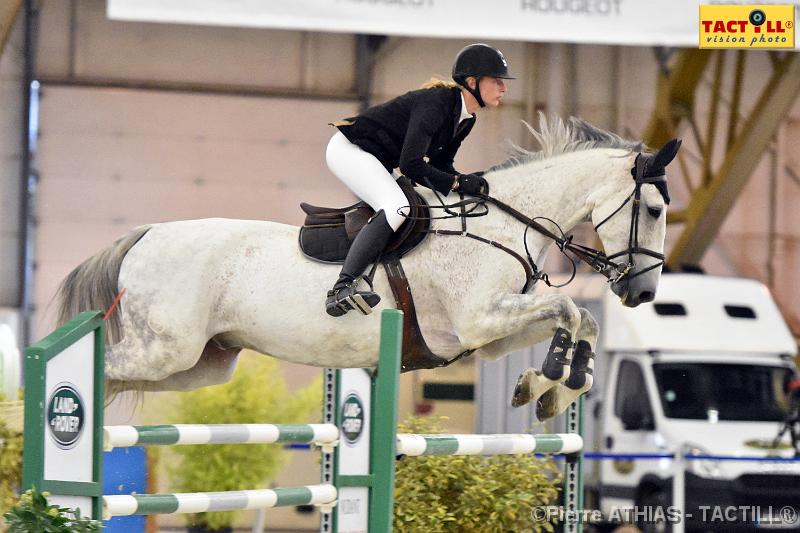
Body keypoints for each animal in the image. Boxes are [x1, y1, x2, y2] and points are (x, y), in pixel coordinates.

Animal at [57, 116, 680, 420]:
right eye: (653, 210)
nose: (643, 294)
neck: (505, 224)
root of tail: (144, 235)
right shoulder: (482, 319)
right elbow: (572, 309)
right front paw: (554, 376)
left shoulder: (485, 336)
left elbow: (580, 319)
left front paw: (546, 389)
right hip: (165, 350)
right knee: (98, 367)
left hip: (199, 364)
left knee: (119, 376)